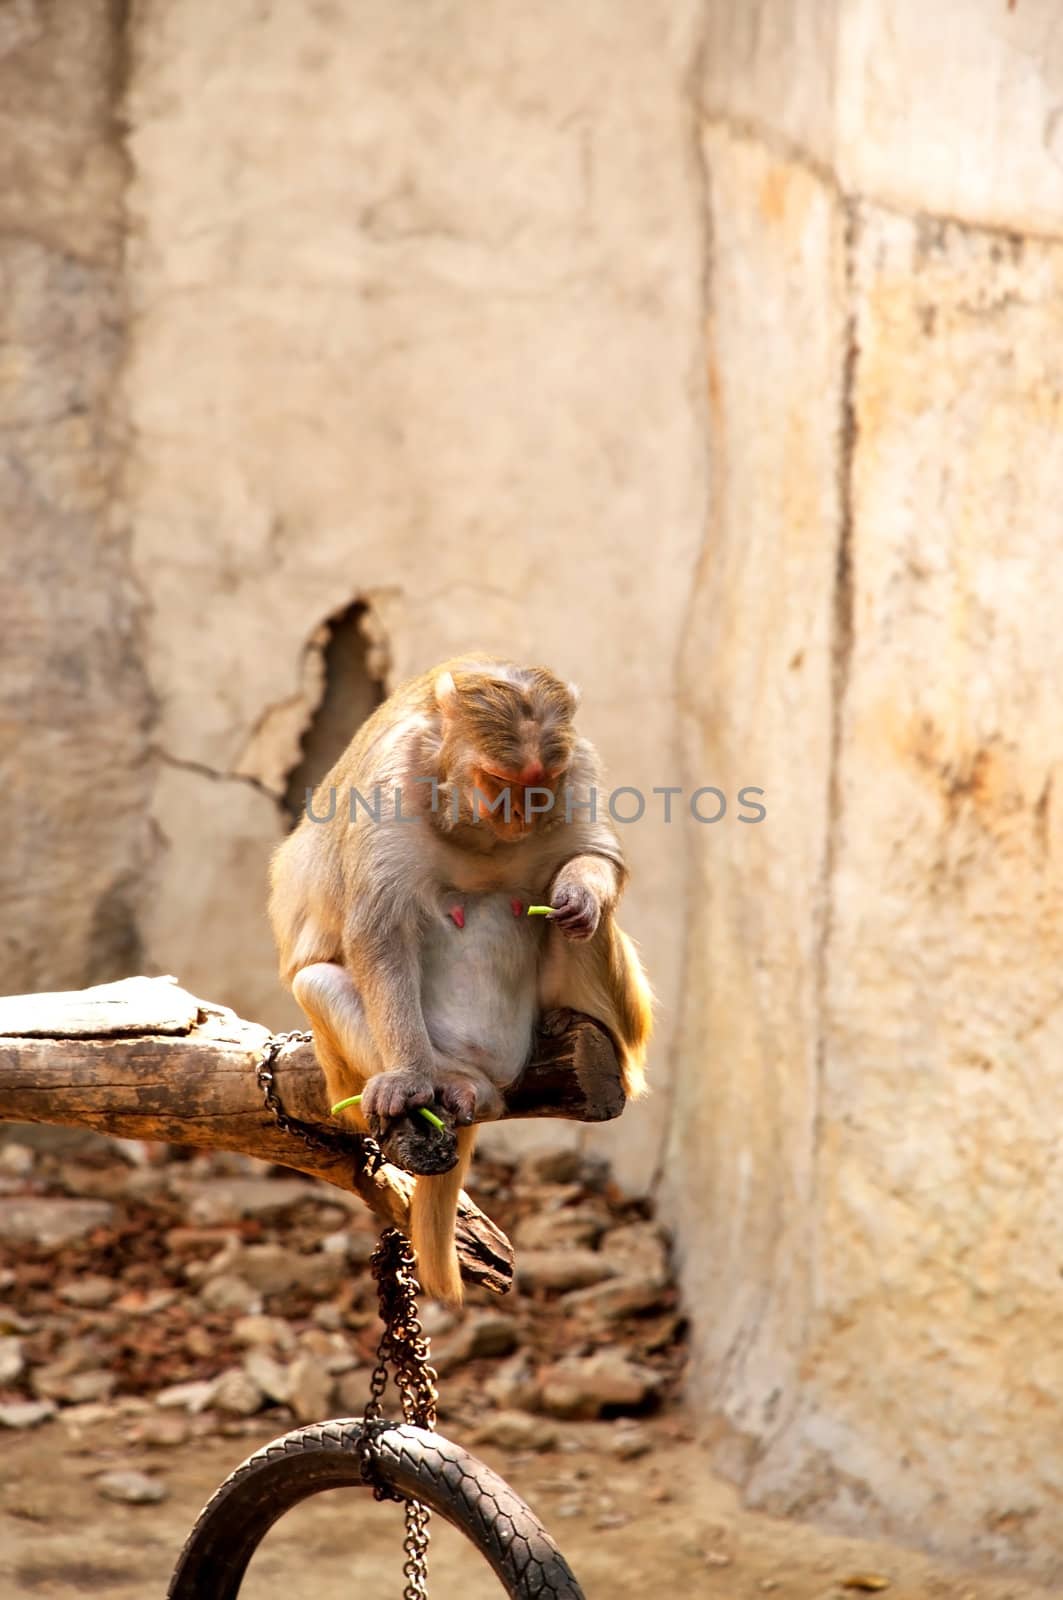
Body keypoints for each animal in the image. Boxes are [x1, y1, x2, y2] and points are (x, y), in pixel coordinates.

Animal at [267, 652, 646, 1299]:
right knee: (317, 981)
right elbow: (379, 932)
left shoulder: (577, 768)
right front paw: (407, 1079)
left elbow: (596, 860)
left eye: (541, 784)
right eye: (499, 781)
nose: (522, 813)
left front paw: (579, 894)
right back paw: (454, 1084)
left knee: (585, 933)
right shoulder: (389, 787)